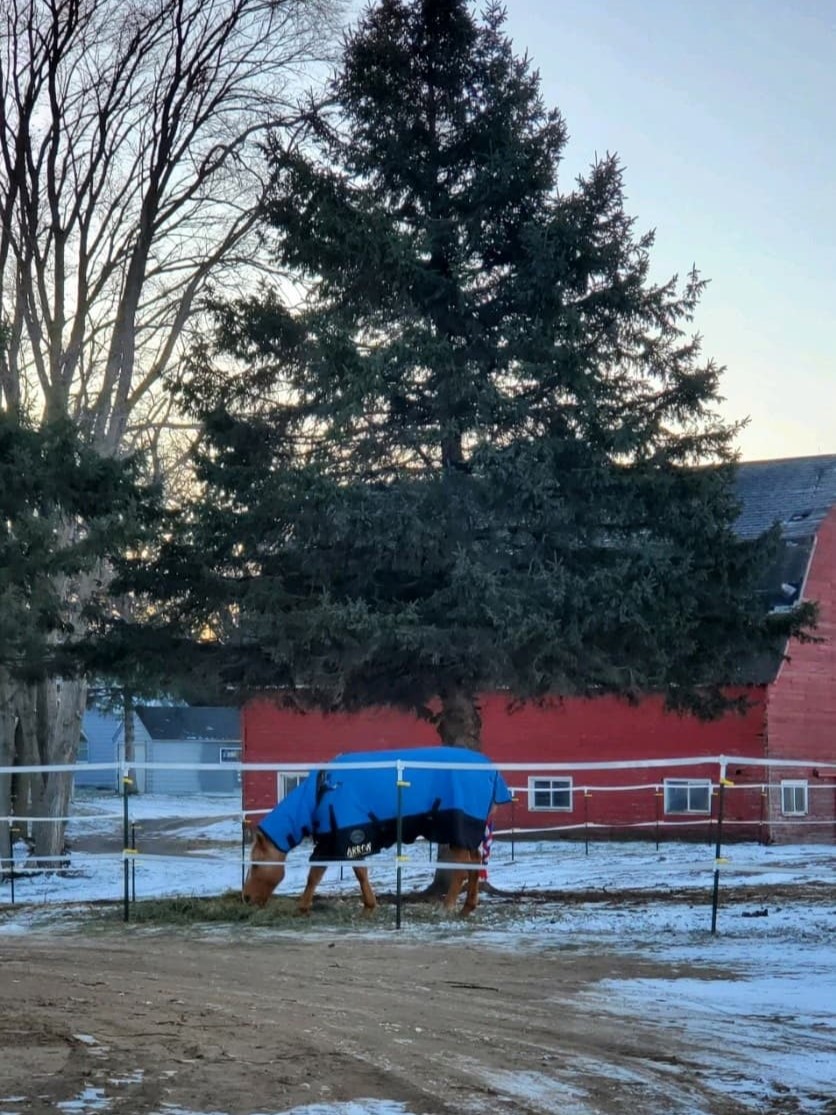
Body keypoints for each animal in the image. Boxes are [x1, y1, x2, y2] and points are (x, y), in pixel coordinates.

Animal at [241, 749, 514, 914]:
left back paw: (447, 906)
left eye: (256, 864)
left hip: (457, 829)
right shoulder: (345, 839)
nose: (246, 898)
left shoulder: (342, 838)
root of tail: (494, 773)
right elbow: (353, 873)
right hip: (468, 833)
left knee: (461, 869)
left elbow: (319, 874)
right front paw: (369, 904)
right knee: (475, 863)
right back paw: (468, 906)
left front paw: (303, 906)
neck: (321, 792)